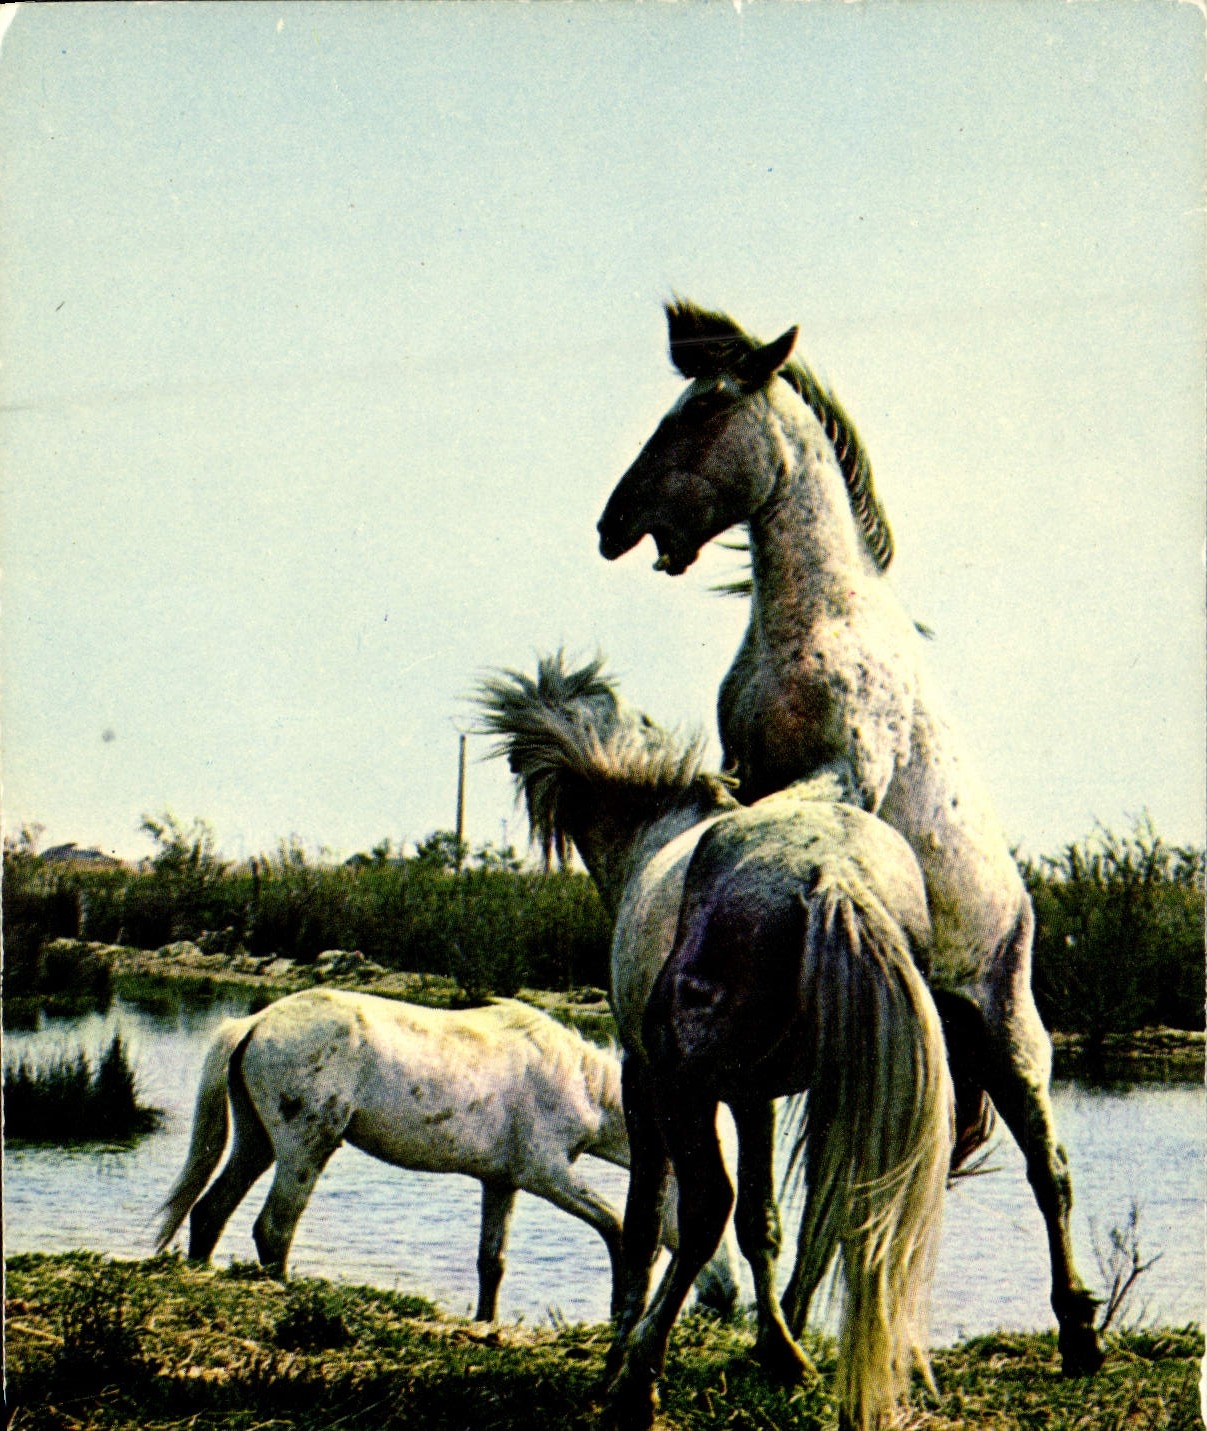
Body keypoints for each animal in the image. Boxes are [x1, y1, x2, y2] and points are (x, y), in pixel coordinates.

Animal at [155, 988, 726, 1322]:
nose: (722, 1294)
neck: (576, 1079)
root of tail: (256, 1022)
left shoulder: (502, 1182)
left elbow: (491, 1262)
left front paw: (486, 1325)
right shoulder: (547, 1175)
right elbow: (616, 1227)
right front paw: (621, 1307)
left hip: (257, 1143)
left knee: (210, 1211)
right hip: (305, 1149)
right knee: (274, 1227)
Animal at [478, 655, 954, 1431]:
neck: (656, 827)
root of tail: (830, 876)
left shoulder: (642, 1079)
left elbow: (644, 1223)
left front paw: (617, 1356)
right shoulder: (756, 1095)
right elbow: (762, 1221)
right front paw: (777, 1352)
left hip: (684, 1087)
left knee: (702, 1211)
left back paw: (637, 1381)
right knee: (833, 1216)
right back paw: (783, 1352)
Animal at [596, 298, 1103, 1375]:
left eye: (699, 417)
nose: (614, 526)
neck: (813, 618)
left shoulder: (844, 770)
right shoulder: (750, 764)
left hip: (1009, 1031)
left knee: (1049, 1165)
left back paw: (1080, 1329)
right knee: (844, 1202)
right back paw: (784, 1336)